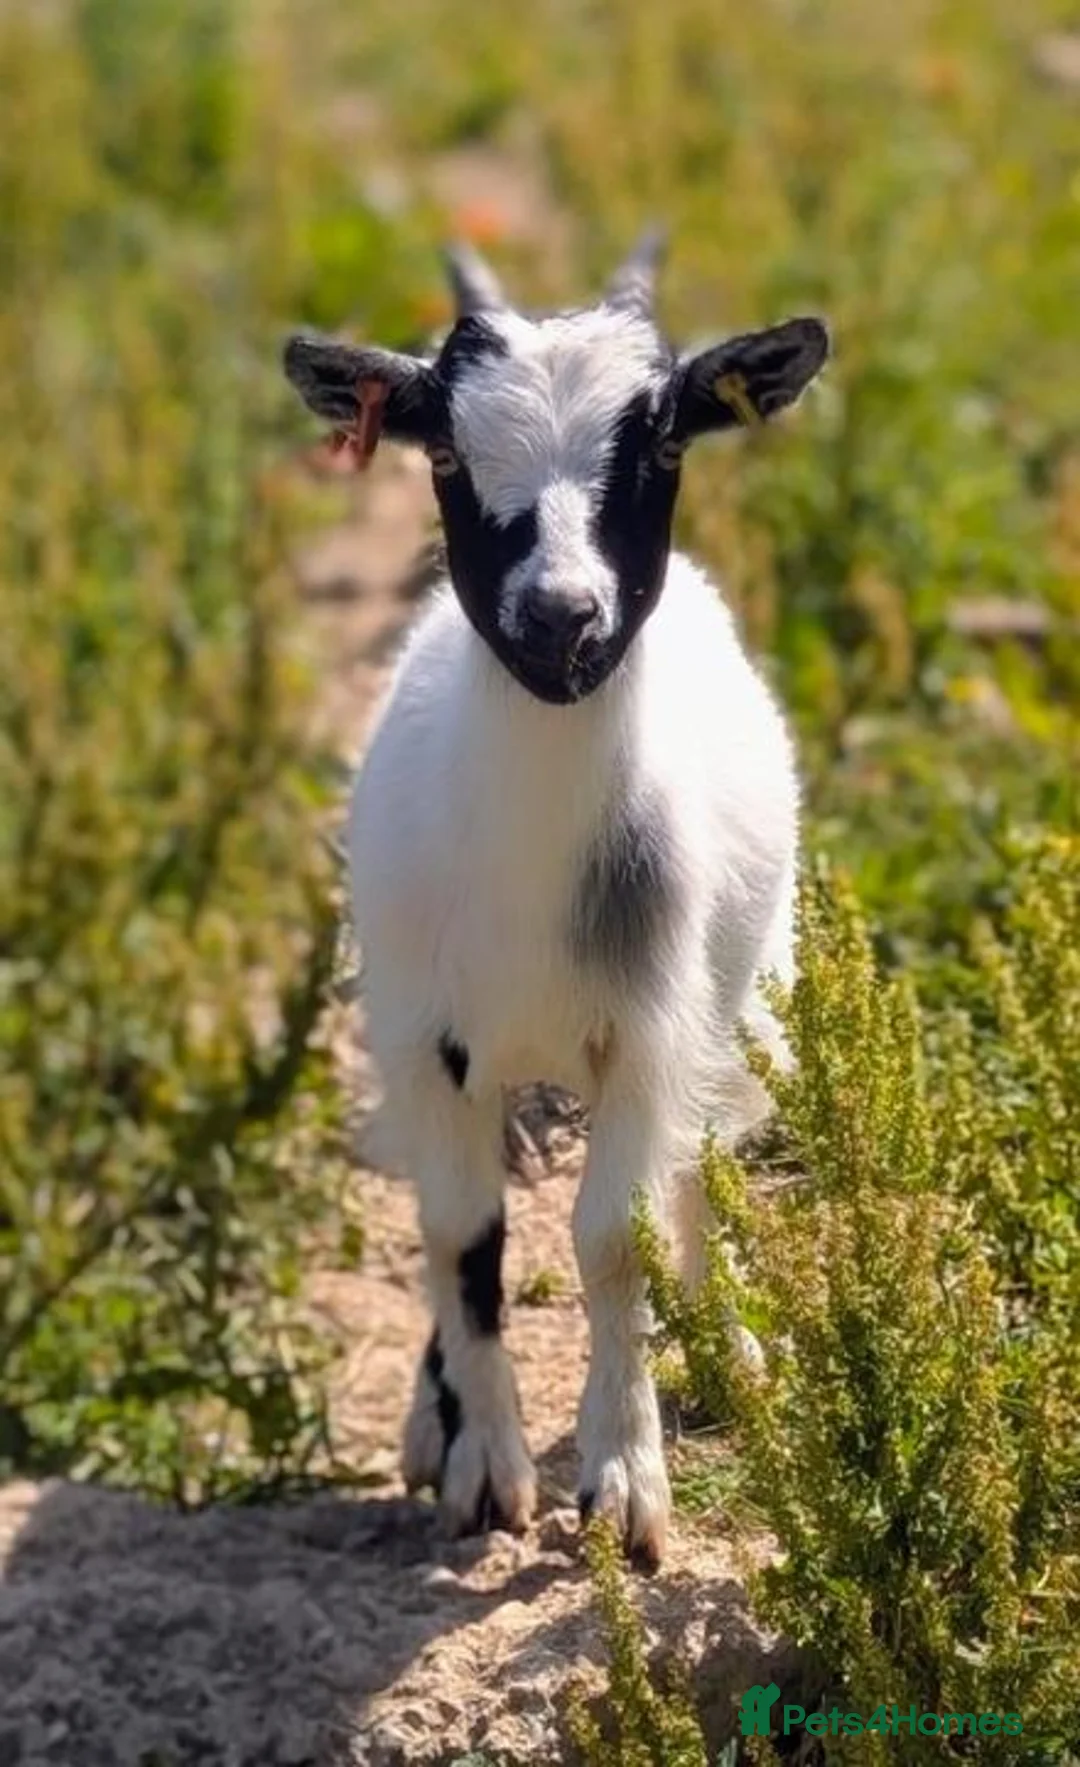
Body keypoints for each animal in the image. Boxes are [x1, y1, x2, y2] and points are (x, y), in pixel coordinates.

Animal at [283, 235, 828, 1565]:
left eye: (666, 443)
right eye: (440, 452)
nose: (561, 616)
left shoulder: (647, 1031)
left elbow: (614, 1236)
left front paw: (625, 1483)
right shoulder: (425, 1040)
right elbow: (461, 1237)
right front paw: (482, 1467)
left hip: (738, 1000)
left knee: (701, 1167)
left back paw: (730, 1351)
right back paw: (429, 1423)